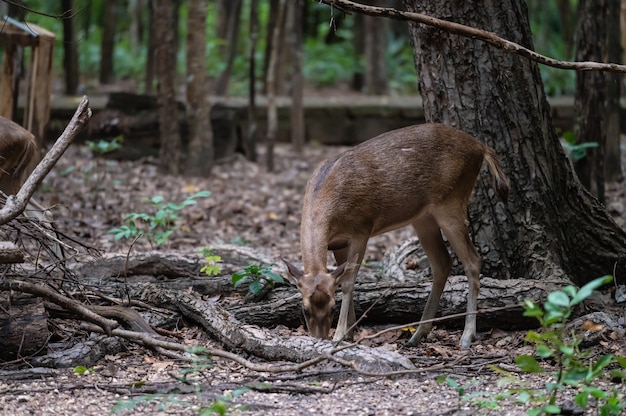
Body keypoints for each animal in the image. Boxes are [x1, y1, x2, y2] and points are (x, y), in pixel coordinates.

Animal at [282, 122, 508, 348]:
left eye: (332, 307)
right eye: (304, 309)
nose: (318, 338)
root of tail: (481, 147)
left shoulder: (362, 229)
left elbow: (348, 283)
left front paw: (340, 335)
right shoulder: (339, 243)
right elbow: (347, 280)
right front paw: (350, 334)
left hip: (451, 201)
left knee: (472, 261)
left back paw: (467, 335)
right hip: (424, 218)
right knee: (443, 262)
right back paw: (416, 335)